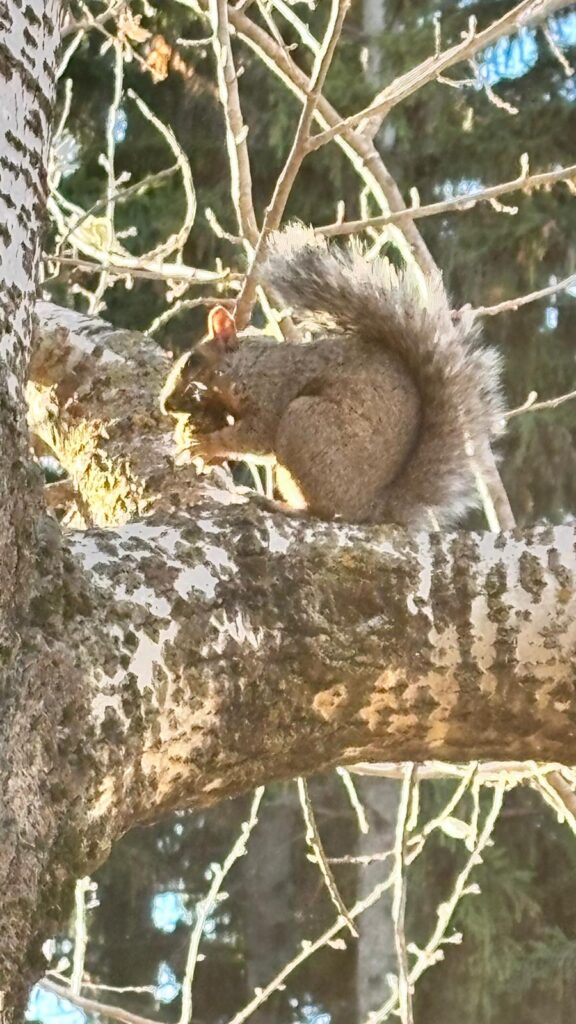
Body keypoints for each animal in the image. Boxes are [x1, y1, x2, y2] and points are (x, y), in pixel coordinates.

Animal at [157, 224, 502, 528]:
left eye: (192, 361)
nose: (166, 405)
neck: (250, 363)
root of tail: (371, 506)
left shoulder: (272, 390)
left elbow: (255, 436)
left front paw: (205, 445)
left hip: (305, 424)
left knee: (322, 512)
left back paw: (279, 506)